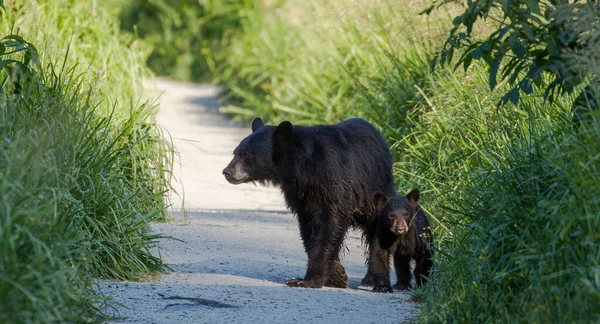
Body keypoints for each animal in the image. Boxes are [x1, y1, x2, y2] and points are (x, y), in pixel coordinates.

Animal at [223, 117, 396, 292]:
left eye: (246, 154)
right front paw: (335, 275)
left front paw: (309, 280)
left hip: (375, 190)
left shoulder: (332, 184)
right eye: (235, 152)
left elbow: (327, 227)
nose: (226, 172)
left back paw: (375, 281)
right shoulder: (300, 196)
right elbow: (309, 230)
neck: (303, 168)